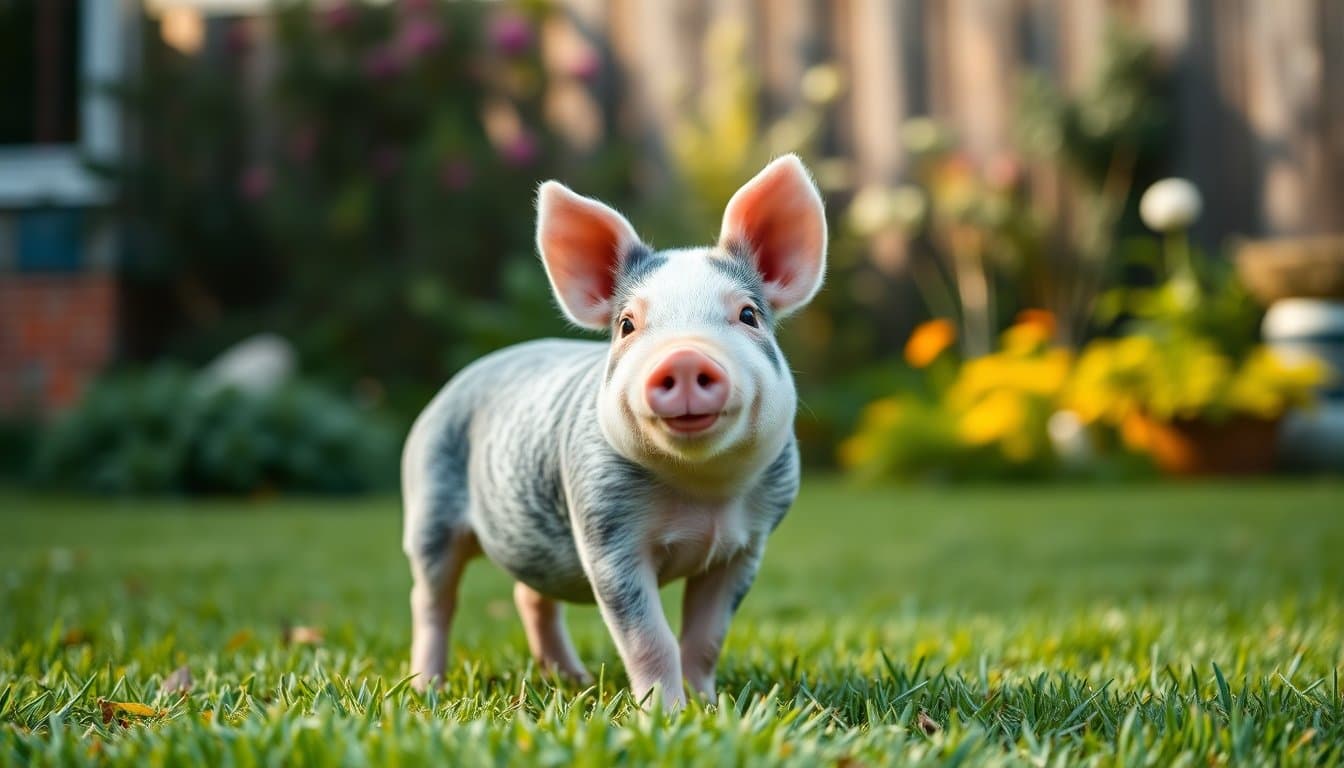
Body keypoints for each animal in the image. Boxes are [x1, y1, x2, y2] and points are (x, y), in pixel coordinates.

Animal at [401, 154, 827, 707]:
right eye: (626, 325)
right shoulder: (604, 530)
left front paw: (709, 707)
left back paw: (573, 680)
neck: (702, 491)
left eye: (748, 314)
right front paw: (666, 713)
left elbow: (706, 637)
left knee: (529, 595)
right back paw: (427, 689)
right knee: (433, 600)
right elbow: (648, 637)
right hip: (428, 505)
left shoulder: (747, 544)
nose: (684, 357)